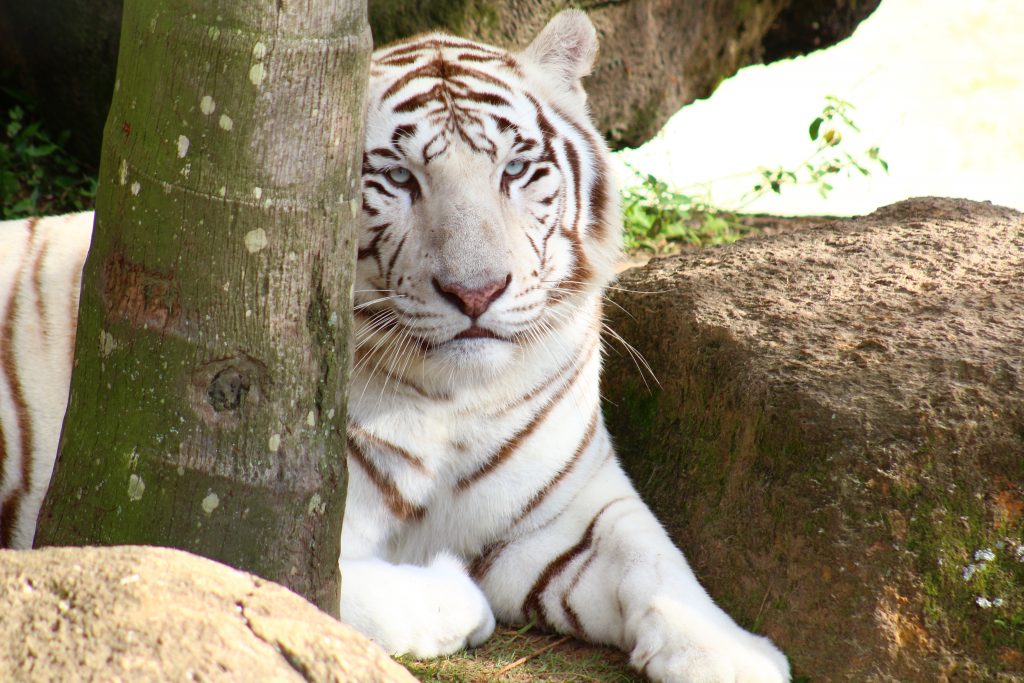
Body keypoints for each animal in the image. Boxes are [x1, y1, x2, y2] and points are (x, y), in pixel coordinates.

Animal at [0, 11, 790, 682]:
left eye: (513, 170)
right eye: (399, 178)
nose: (476, 292)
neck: (455, 401)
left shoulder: (573, 508)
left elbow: (658, 558)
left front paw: (733, 657)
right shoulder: (220, 519)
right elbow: (317, 594)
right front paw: (453, 589)